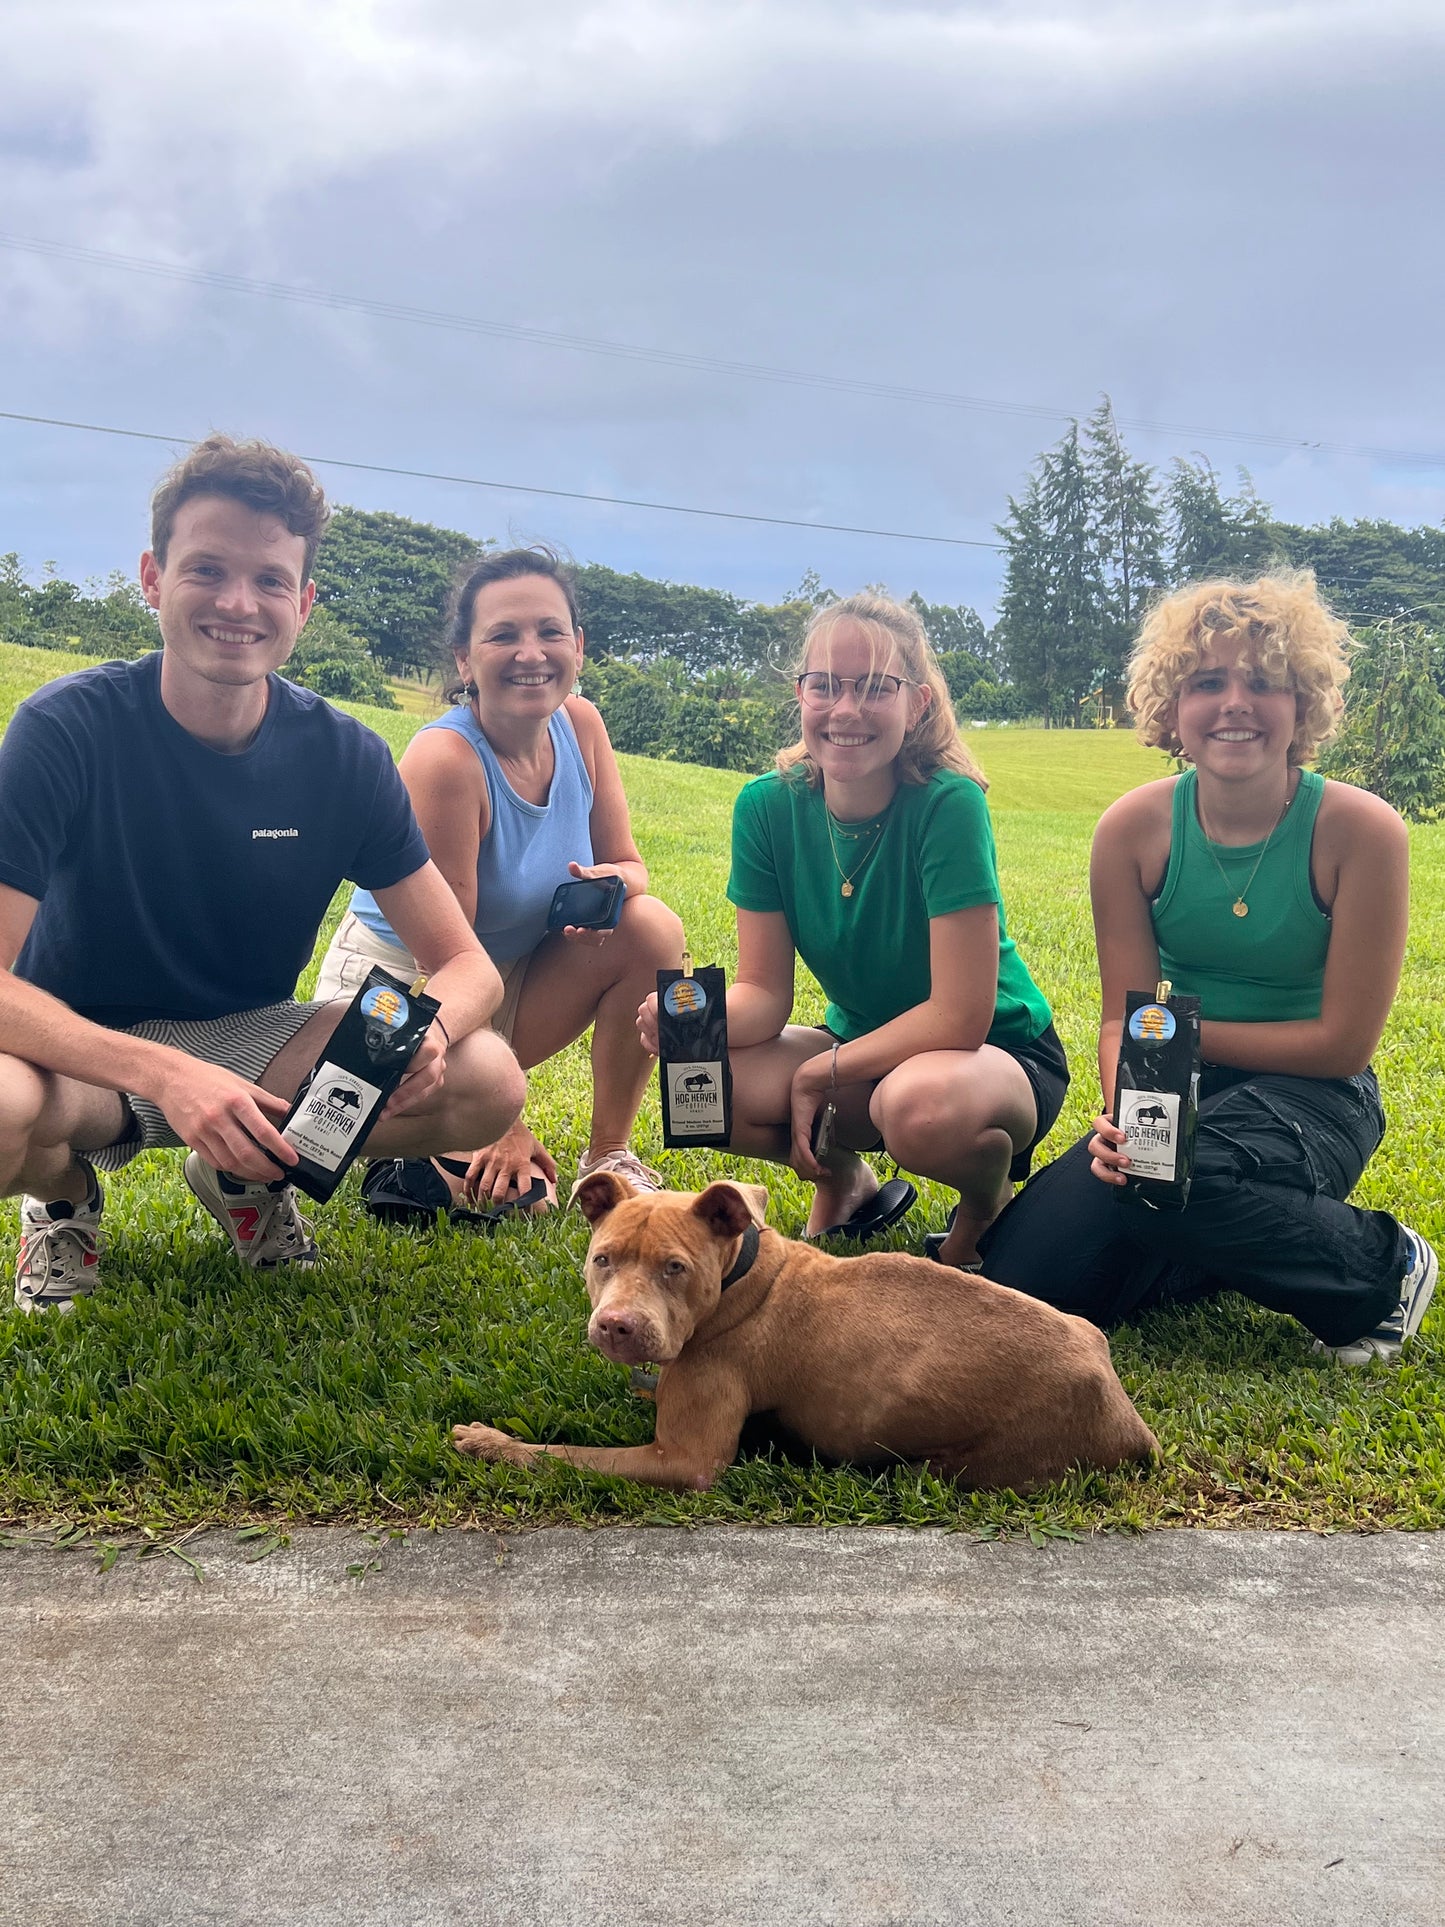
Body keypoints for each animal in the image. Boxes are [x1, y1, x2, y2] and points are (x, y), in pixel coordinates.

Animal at [458, 1171, 1163, 1487]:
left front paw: (491, 1442)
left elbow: (562, 1453)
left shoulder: (682, 1460)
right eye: (602, 1259)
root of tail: (1128, 1418)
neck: (737, 1274)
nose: (616, 1327)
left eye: (674, 1268)